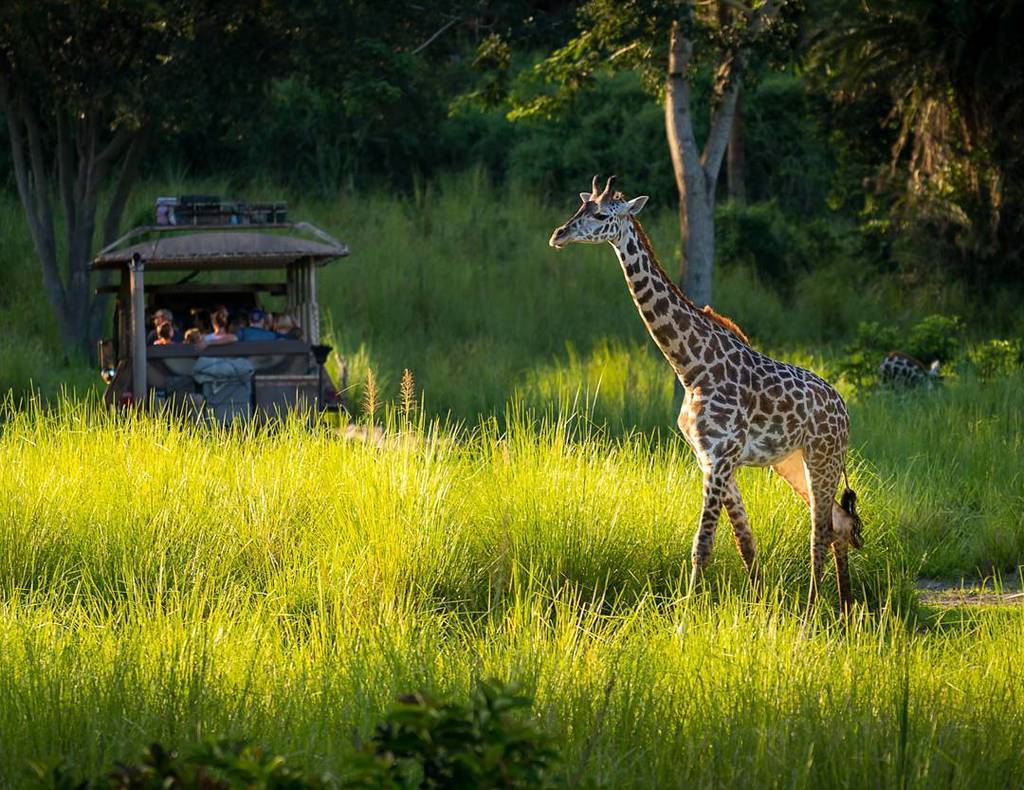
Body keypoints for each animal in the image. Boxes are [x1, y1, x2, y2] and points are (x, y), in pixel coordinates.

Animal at [549, 177, 864, 612]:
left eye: (599, 214)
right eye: (578, 208)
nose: (558, 235)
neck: (691, 367)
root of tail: (844, 409)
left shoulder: (720, 457)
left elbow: (703, 543)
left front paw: (685, 616)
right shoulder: (710, 458)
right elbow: (744, 540)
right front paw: (759, 609)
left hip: (823, 457)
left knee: (820, 529)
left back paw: (814, 612)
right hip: (791, 462)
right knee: (838, 522)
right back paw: (846, 610)